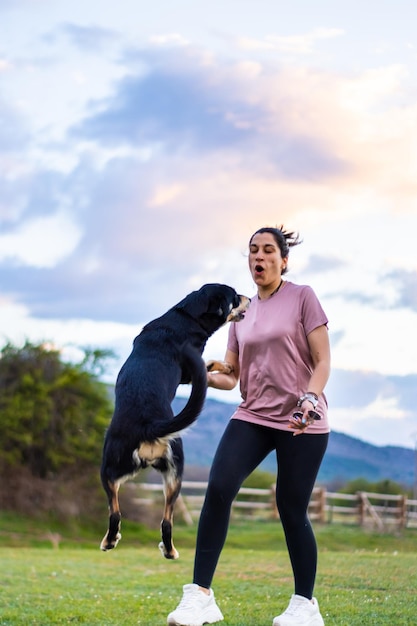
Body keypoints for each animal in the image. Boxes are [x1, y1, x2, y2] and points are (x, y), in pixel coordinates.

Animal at [100, 282, 250, 556]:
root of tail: (149, 425)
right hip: (155, 475)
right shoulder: (190, 374)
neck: (187, 316)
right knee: (155, 519)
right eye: (235, 297)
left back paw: (118, 542)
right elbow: (208, 363)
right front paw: (225, 366)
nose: (250, 298)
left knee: (125, 514)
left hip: (121, 471)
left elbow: (209, 363)